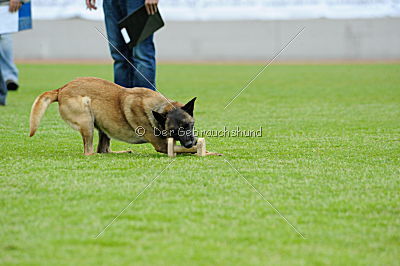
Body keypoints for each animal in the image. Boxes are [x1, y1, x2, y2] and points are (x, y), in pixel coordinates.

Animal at [29, 76, 200, 156]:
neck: (161, 108)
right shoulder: (162, 146)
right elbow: (189, 151)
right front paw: (204, 152)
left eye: (188, 125)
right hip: (87, 120)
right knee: (90, 152)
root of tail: (61, 89)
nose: (189, 142)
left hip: (103, 126)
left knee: (103, 149)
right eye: (174, 131)